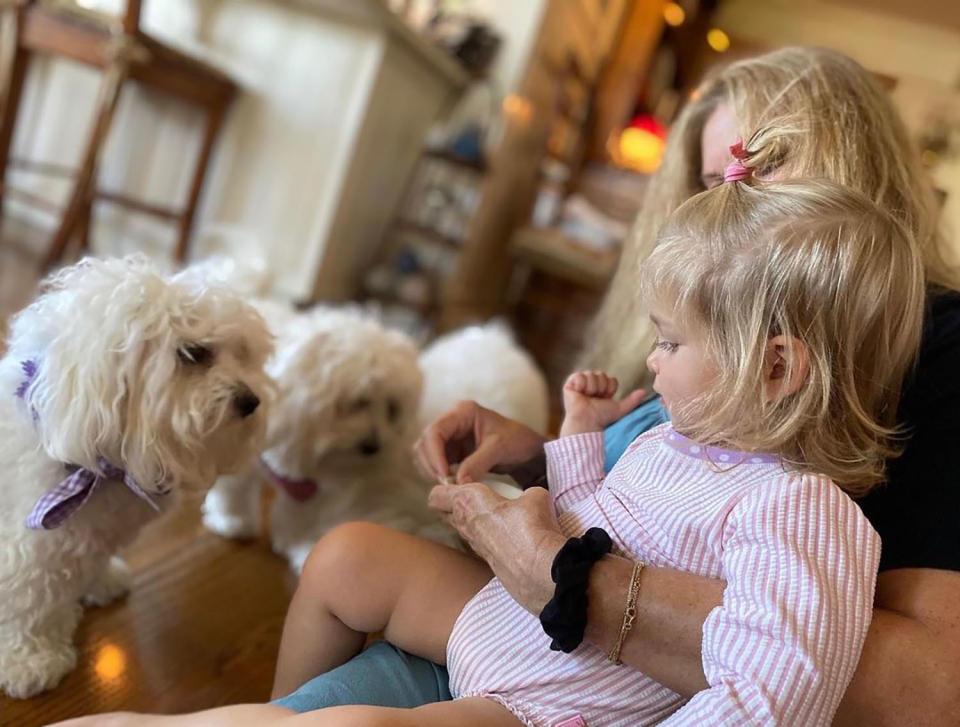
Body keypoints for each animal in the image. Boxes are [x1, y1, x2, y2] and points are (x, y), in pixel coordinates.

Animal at [0, 258, 272, 700]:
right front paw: (31, 660)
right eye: (194, 353)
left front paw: (101, 582)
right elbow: (31, 605)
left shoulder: (93, 534)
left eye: (244, 354)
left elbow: (89, 563)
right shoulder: (29, 548)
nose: (252, 401)